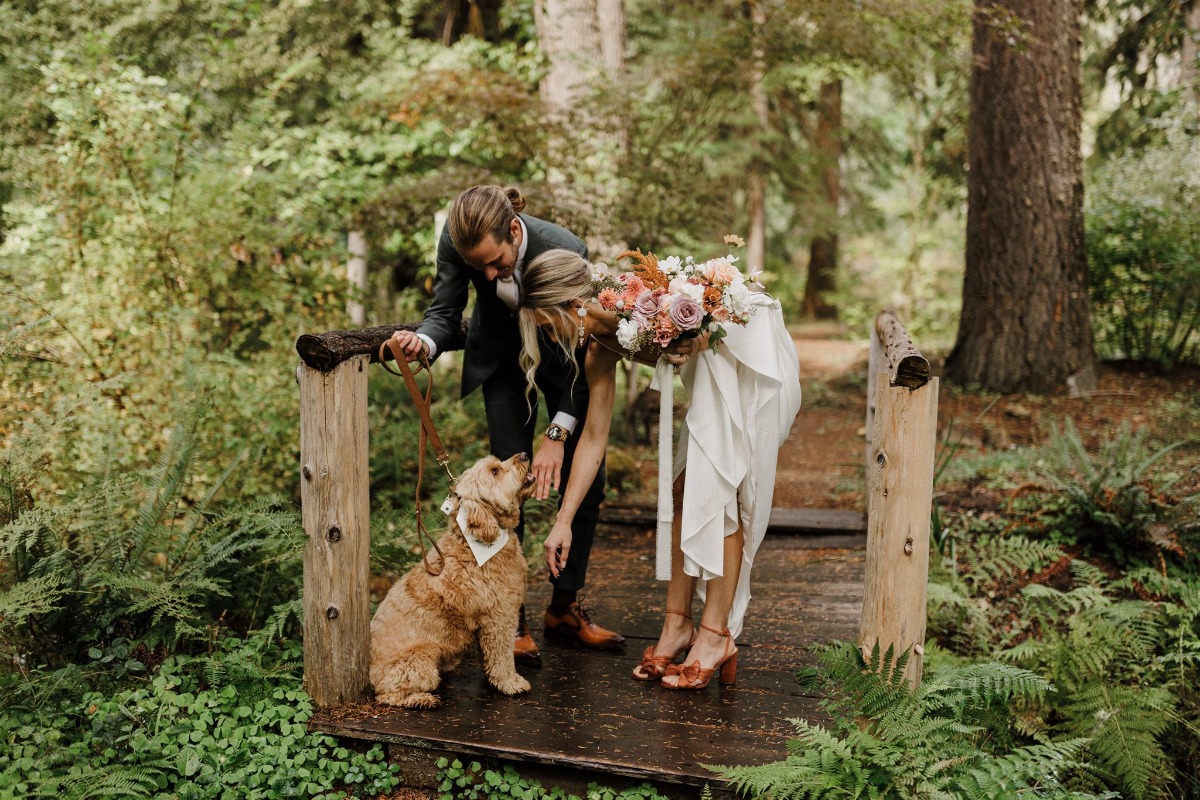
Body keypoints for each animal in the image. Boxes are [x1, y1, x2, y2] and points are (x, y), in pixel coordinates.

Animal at [367, 453, 532, 710]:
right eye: (495, 471)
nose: (524, 455)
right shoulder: (500, 618)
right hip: (421, 658)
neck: (475, 544)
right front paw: (510, 683)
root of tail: (369, 671)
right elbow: (503, 656)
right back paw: (422, 699)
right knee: (388, 695)